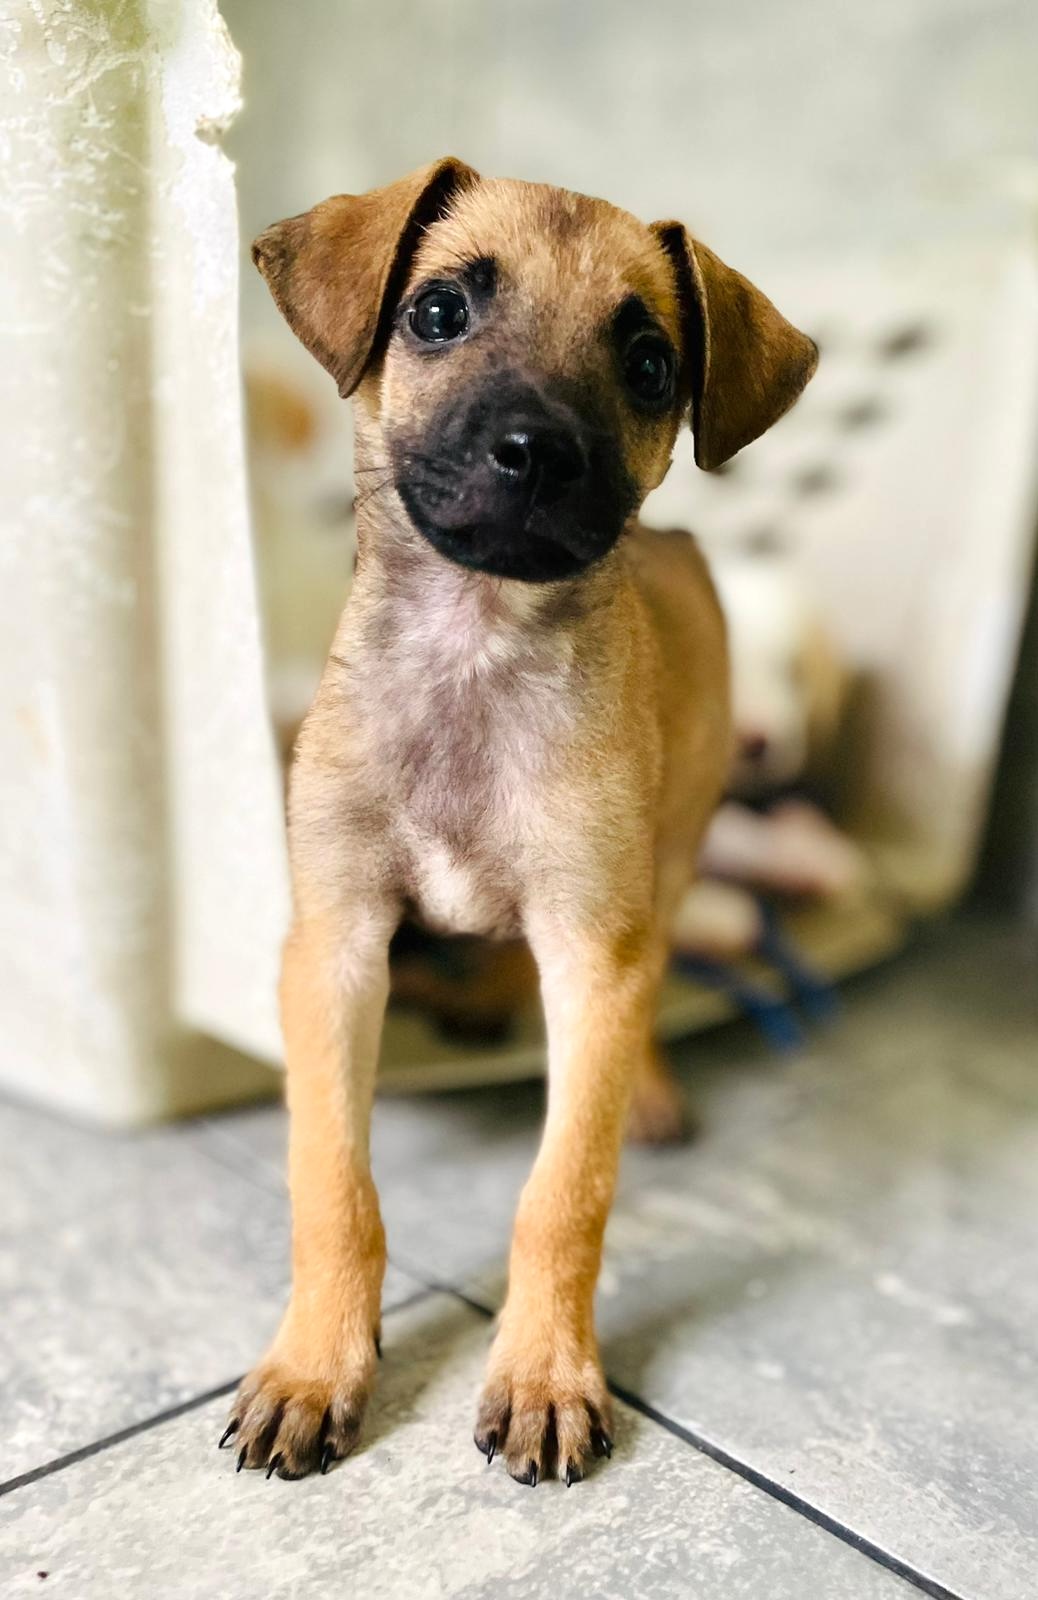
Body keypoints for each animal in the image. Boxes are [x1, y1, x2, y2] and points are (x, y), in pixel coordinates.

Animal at [222, 159, 812, 1484]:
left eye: (648, 362)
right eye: (438, 311)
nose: (536, 454)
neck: (476, 648)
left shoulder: (594, 942)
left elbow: (563, 1192)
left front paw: (544, 1372)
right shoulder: (334, 945)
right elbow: (332, 1181)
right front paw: (315, 1365)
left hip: (665, 864)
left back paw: (640, 1083)